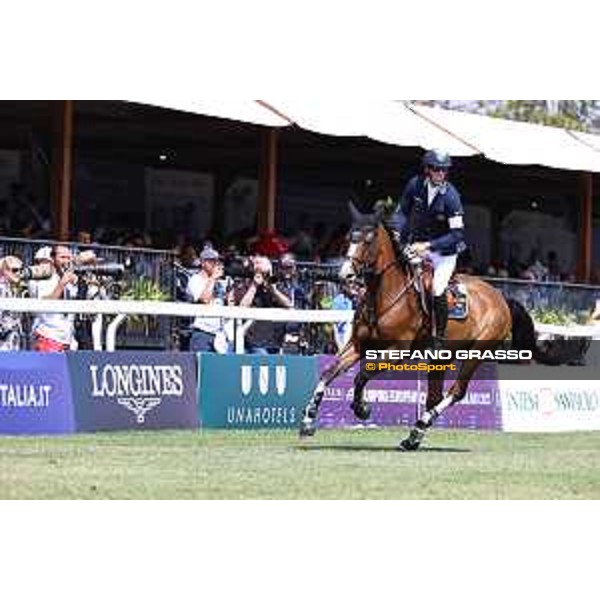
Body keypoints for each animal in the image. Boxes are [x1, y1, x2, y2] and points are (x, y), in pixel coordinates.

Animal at [302, 203, 564, 450]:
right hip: (442, 355)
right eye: (349, 238)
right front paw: (308, 420)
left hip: (476, 352)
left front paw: (362, 409)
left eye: (368, 240)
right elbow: (328, 373)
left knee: (456, 391)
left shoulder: (397, 350)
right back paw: (414, 436)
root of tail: (501, 297)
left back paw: (418, 428)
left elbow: (362, 375)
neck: (385, 294)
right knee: (434, 395)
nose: (345, 275)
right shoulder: (358, 344)